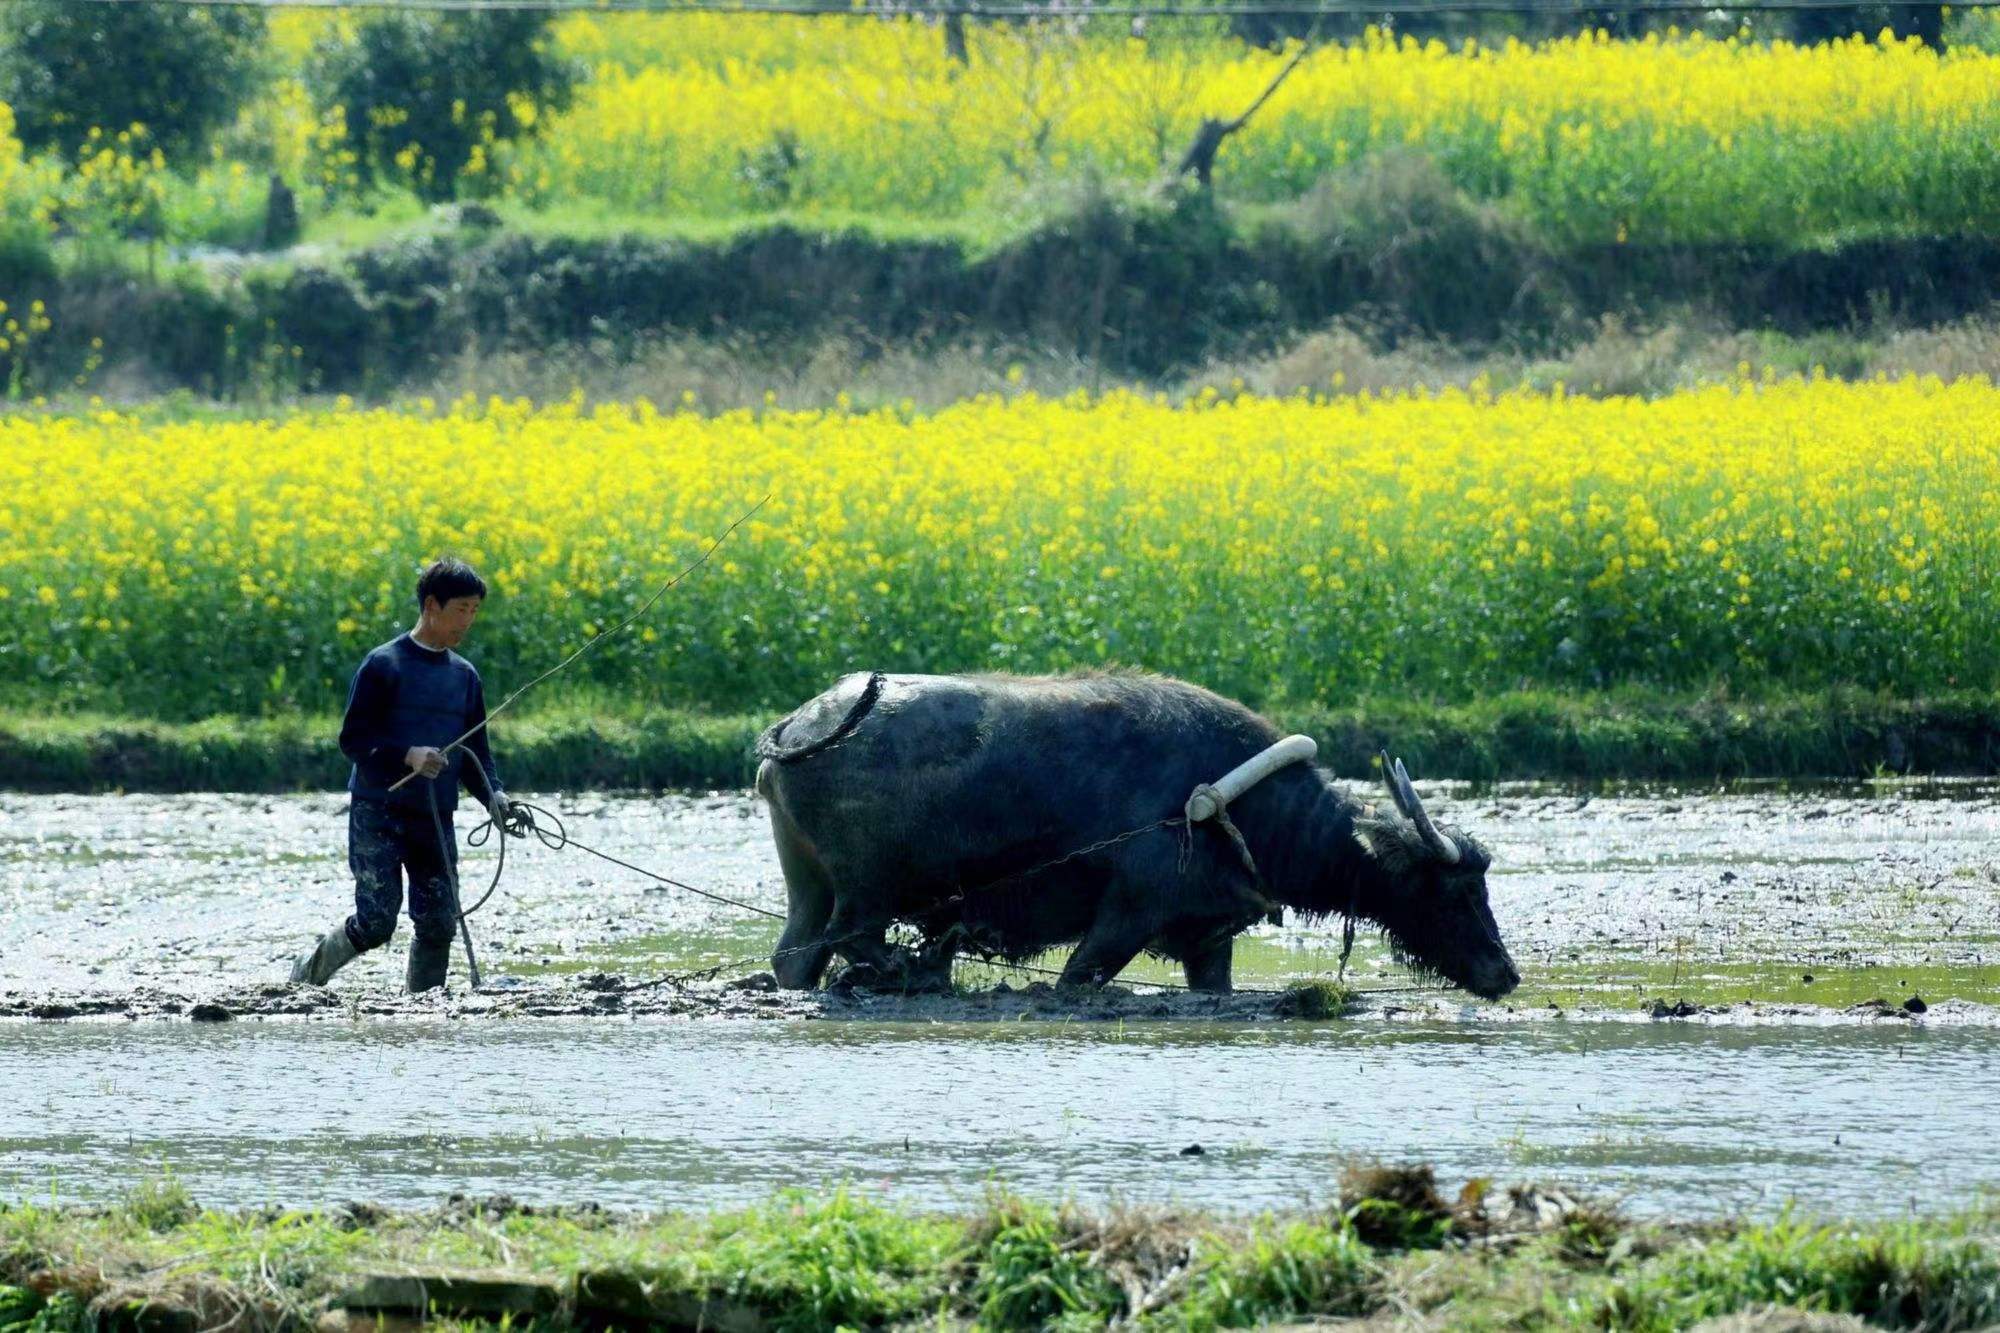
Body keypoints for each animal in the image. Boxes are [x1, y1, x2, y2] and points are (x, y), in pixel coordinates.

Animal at [752, 668, 1512, 992]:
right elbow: (1077, 977)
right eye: (1451, 891)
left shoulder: (1208, 935)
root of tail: (795, 728)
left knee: (796, 956)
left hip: (808, 885)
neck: (1231, 809)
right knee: (854, 941)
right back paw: (909, 971)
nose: (1505, 974)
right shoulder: (1128, 912)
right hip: (866, 891)